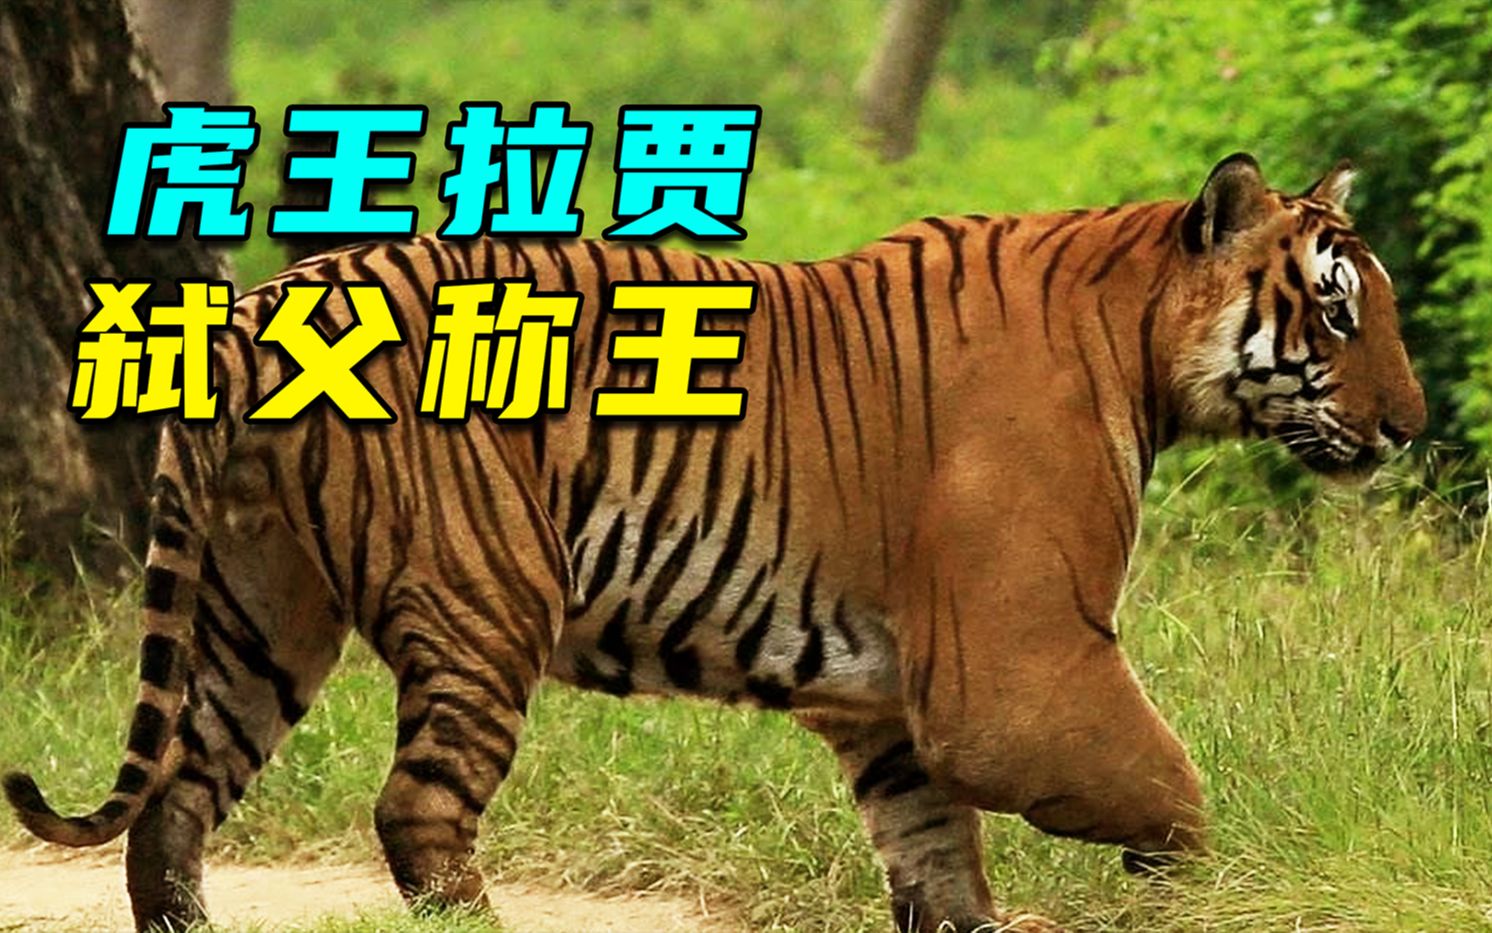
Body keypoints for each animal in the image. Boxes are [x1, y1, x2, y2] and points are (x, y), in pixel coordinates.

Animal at [5, 153, 1425, 933]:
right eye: (1338, 315)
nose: (1410, 429)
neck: (1135, 336)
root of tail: (252, 309)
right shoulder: (1015, 670)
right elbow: (1168, 788)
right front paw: (1193, 895)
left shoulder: (883, 703)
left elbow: (935, 853)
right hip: (484, 596)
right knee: (415, 813)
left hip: (257, 609)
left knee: (174, 804)